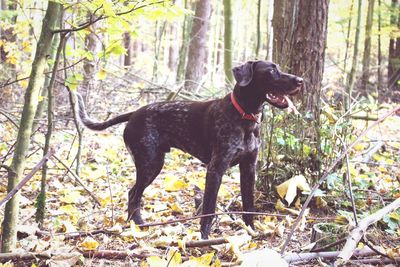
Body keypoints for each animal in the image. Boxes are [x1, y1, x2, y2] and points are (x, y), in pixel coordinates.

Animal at [75, 60, 302, 239]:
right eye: (271, 70)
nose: (300, 80)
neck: (245, 117)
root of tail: (134, 114)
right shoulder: (215, 169)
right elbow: (209, 209)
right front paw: (204, 239)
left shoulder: (248, 169)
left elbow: (249, 207)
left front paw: (251, 232)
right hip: (150, 164)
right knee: (133, 195)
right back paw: (138, 226)